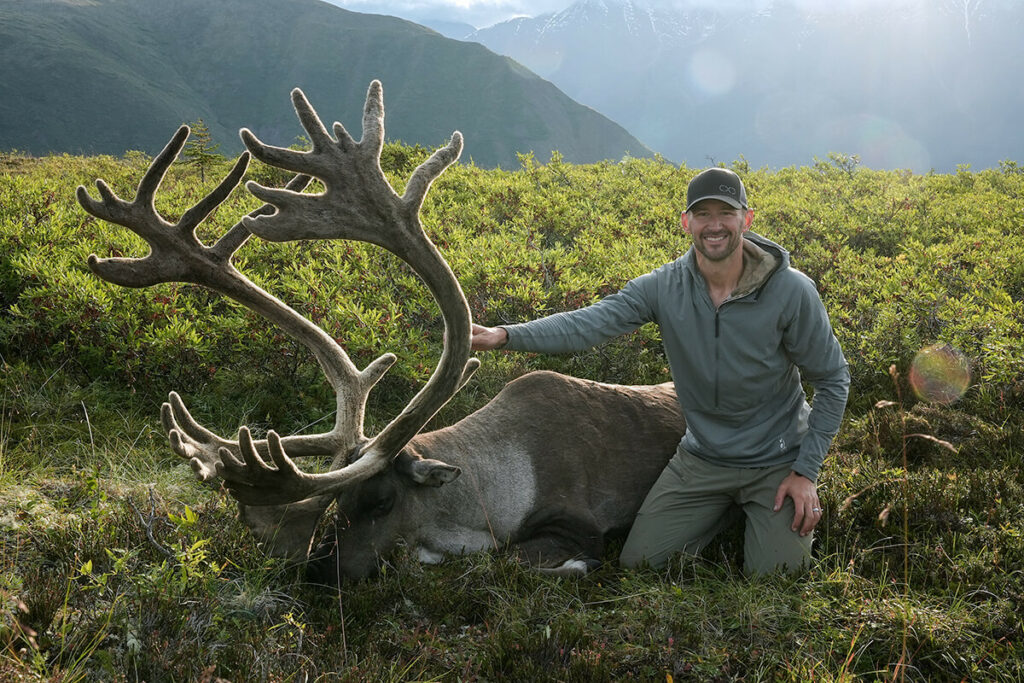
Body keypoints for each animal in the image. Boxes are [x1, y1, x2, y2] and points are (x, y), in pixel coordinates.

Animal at [77, 82, 688, 581]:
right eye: (336, 507)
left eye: (378, 501)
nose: (317, 576)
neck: (500, 479)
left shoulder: (579, 525)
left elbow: (514, 560)